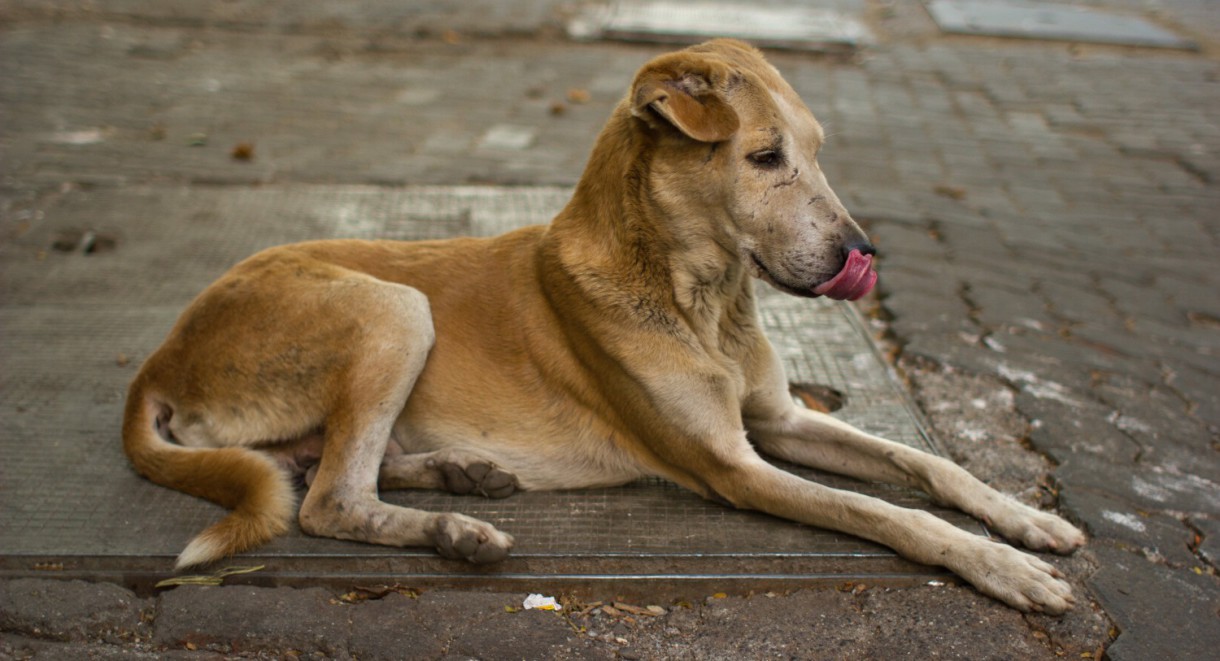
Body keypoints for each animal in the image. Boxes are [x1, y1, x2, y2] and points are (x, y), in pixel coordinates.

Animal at [118, 38, 1083, 614]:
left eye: (816, 152)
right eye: (765, 157)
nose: (863, 252)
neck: (704, 301)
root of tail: (159, 356)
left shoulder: (779, 419)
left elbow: (926, 464)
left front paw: (1023, 521)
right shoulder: (733, 466)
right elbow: (886, 510)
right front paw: (999, 565)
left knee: (326, 465)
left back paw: (462, 476)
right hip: (392, 306)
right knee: (328, 499)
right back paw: (455, 531)